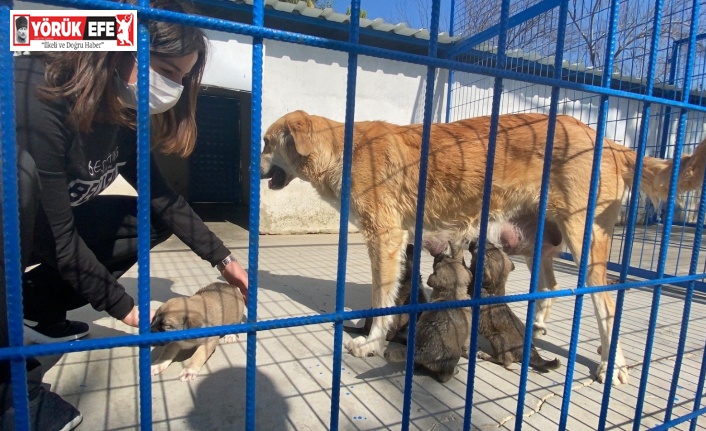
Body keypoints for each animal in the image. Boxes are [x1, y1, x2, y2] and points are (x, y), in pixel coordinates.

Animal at [382, 243, 470, 384]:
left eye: (448, 258)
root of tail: (422, 350)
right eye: (439, 262)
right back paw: (454, 371)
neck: (451, 294)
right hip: (451, 361)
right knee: (444, 377)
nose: (441, 254)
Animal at [468, 241, 560, 372]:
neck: (494, 290)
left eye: (485, 251)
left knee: (506, 361)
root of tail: (530, 352)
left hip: (497, 339)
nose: (474, 240)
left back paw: (486, 355)